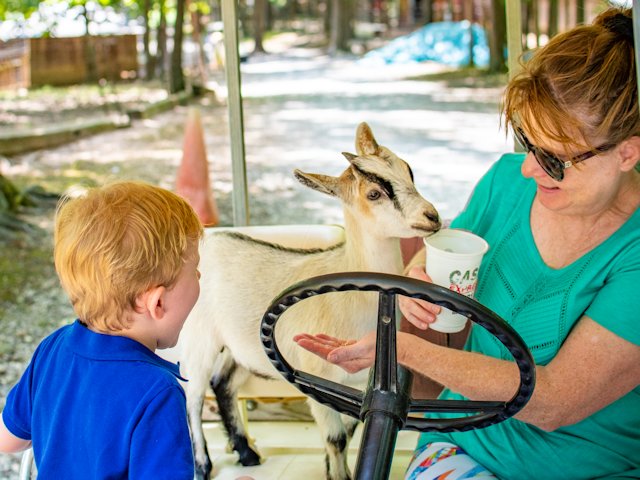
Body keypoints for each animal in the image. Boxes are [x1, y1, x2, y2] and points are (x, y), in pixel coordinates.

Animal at [176, 124, 440, 480]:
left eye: (408, 170)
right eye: (374, 194)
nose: (432, 216)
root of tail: (207, 242)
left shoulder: (359, 384)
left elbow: (350, 433)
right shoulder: (315, 376)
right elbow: (336, 438)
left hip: (239, 346)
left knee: (222, 383)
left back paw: (247, 452)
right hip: (199, 338)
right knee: (192, 394)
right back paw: (203, 464)